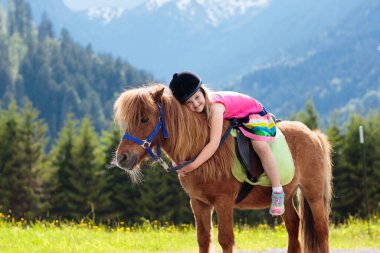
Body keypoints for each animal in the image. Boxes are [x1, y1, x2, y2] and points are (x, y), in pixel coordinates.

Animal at [113, 84, 332, 253]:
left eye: (144, 119)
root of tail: (312, 134)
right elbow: (203, 239)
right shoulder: (199, 204)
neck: (202, 151)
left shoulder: (224, 202)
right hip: (287, 195)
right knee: (293, 226)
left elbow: (225, 240)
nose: (122, 157)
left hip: (313, 193)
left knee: (322, 229)